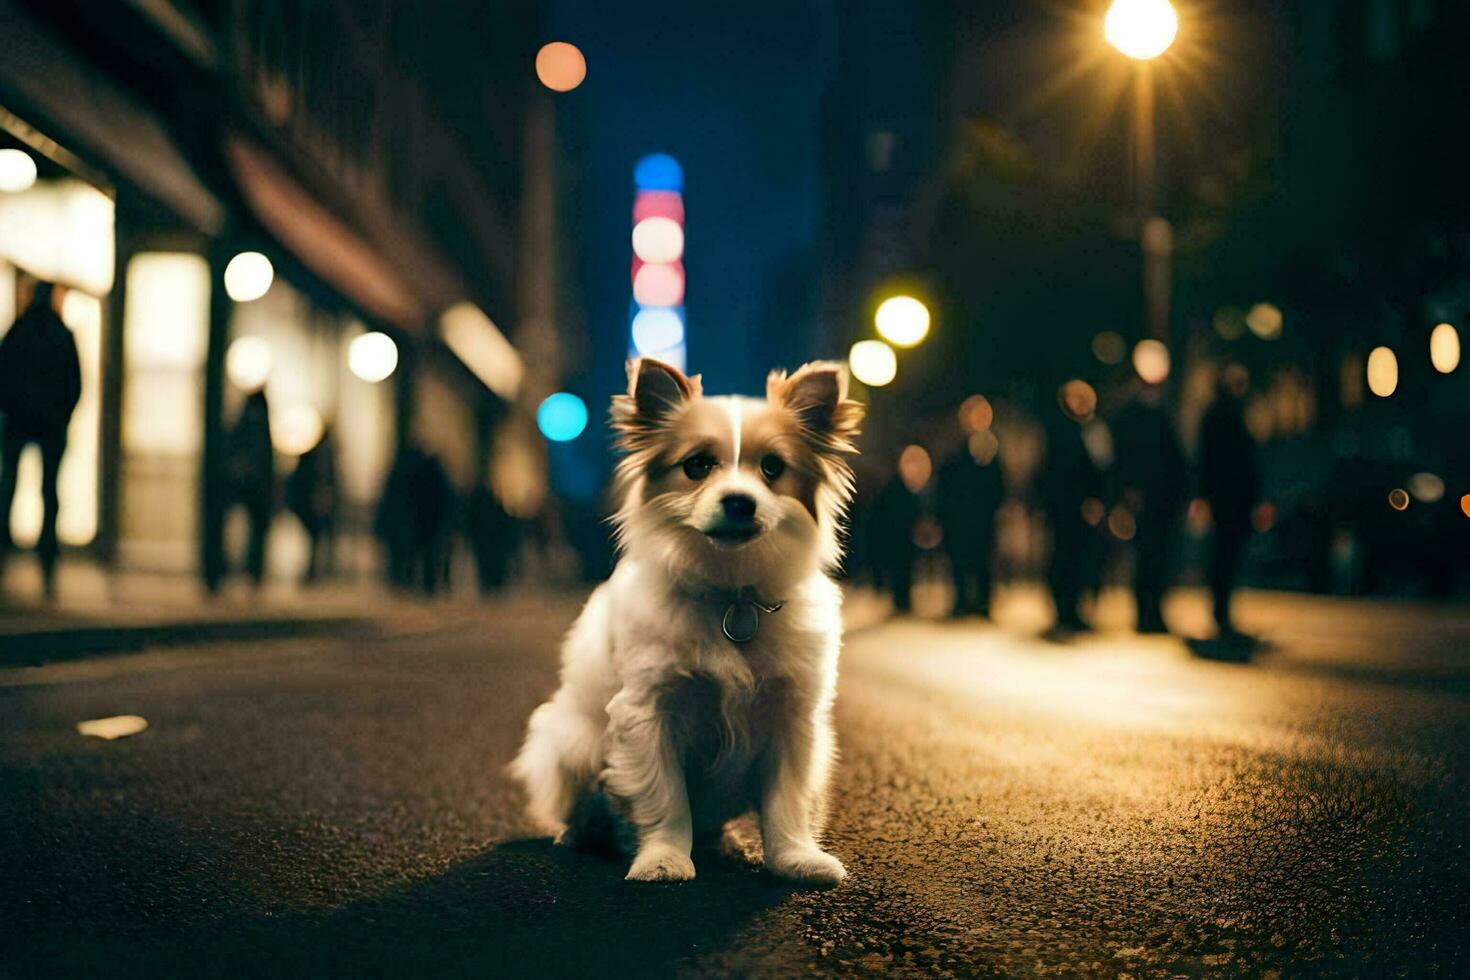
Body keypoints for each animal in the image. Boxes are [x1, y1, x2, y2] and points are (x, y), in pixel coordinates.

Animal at [511, 357, 864, 887]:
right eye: (696, 466)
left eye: (772, 468)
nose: (740, 500)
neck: (732, 597)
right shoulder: (648, 713)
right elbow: (666, 798)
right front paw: (663, 860)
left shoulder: (792, 718)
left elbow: (787, 800)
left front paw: (795, 859)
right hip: (570, 744)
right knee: (587, 807)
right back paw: (581, 836)